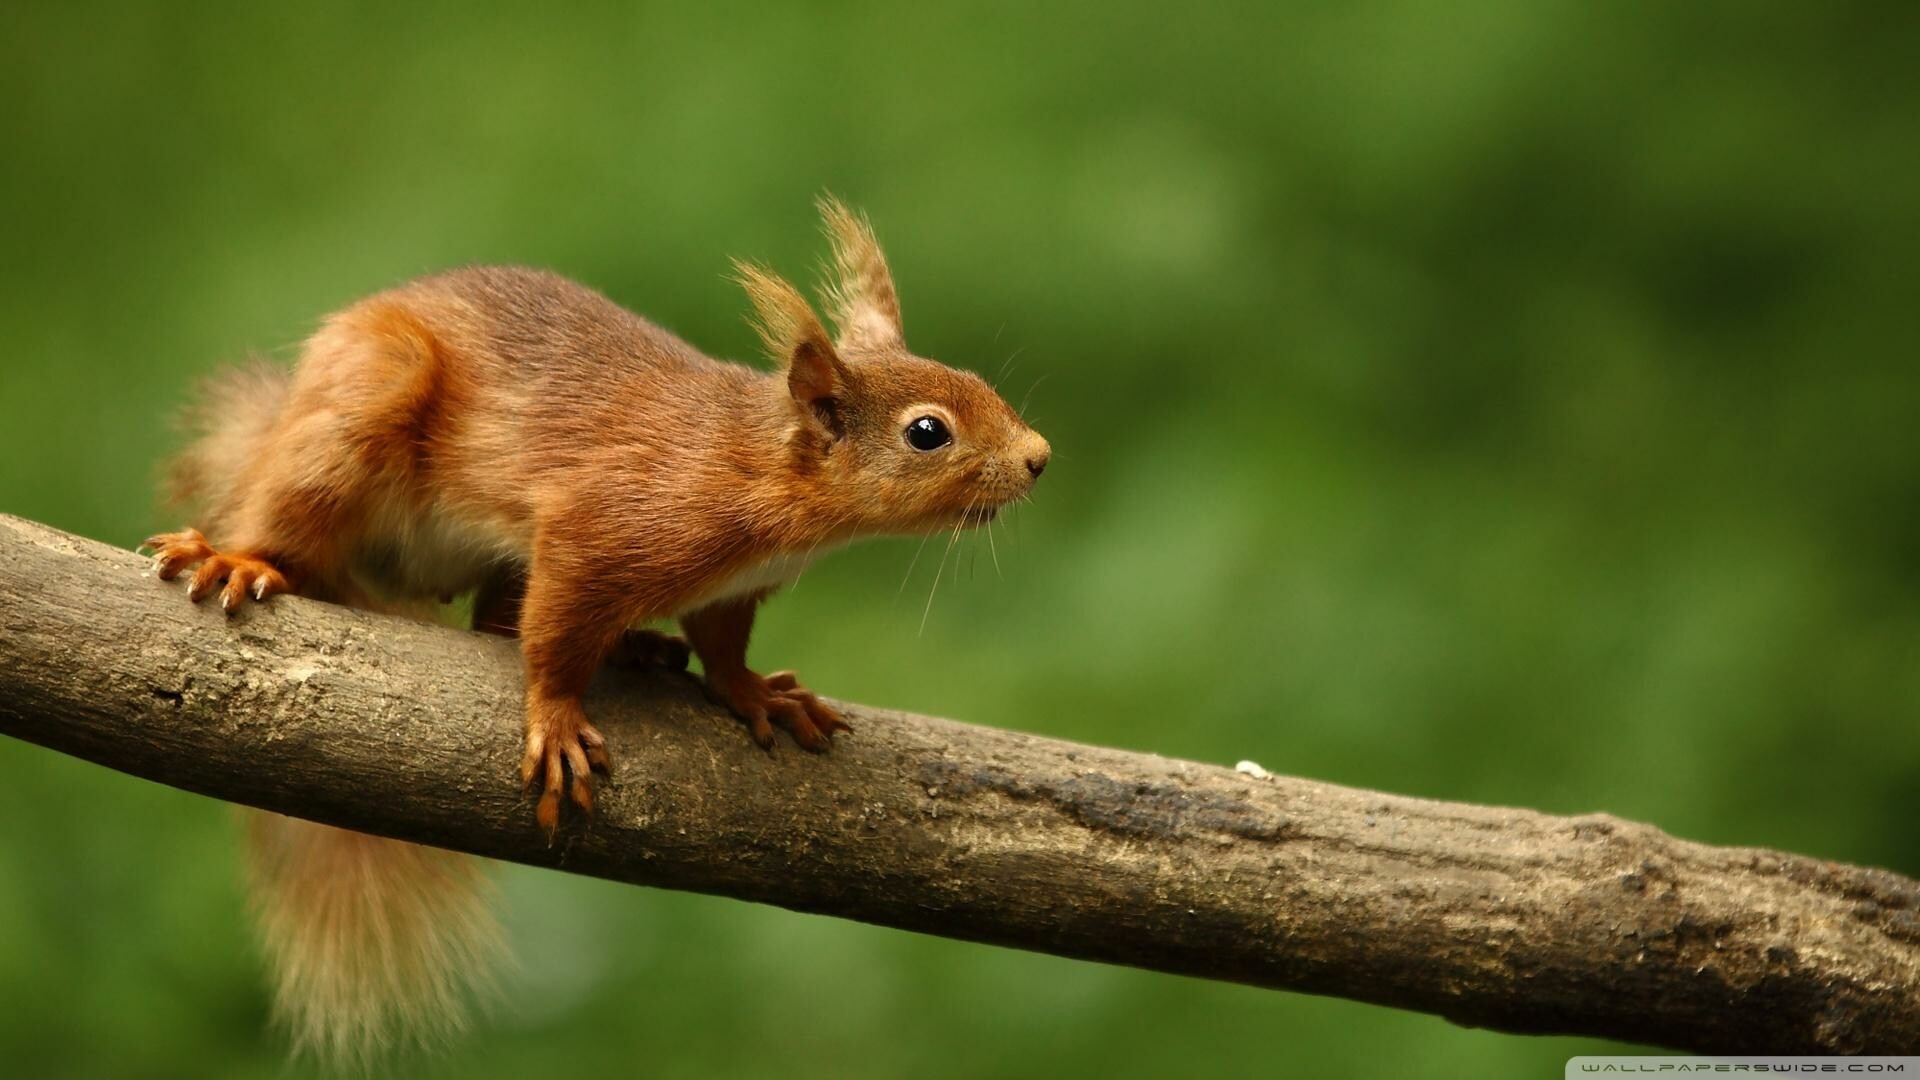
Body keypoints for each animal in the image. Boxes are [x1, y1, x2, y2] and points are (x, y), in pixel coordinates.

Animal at [145, 199, 1052, 1053]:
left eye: (973, 378)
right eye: (927, 432)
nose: (1040, 456)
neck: (761, 471)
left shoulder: (732, 589)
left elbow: (721, 647)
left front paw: (756, 694)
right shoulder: (600, 530)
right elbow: (555, 636)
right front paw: (555, 720)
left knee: (491, 622)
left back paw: (640, 647)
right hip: (361, 407)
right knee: (296, 516)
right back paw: (239, 558)